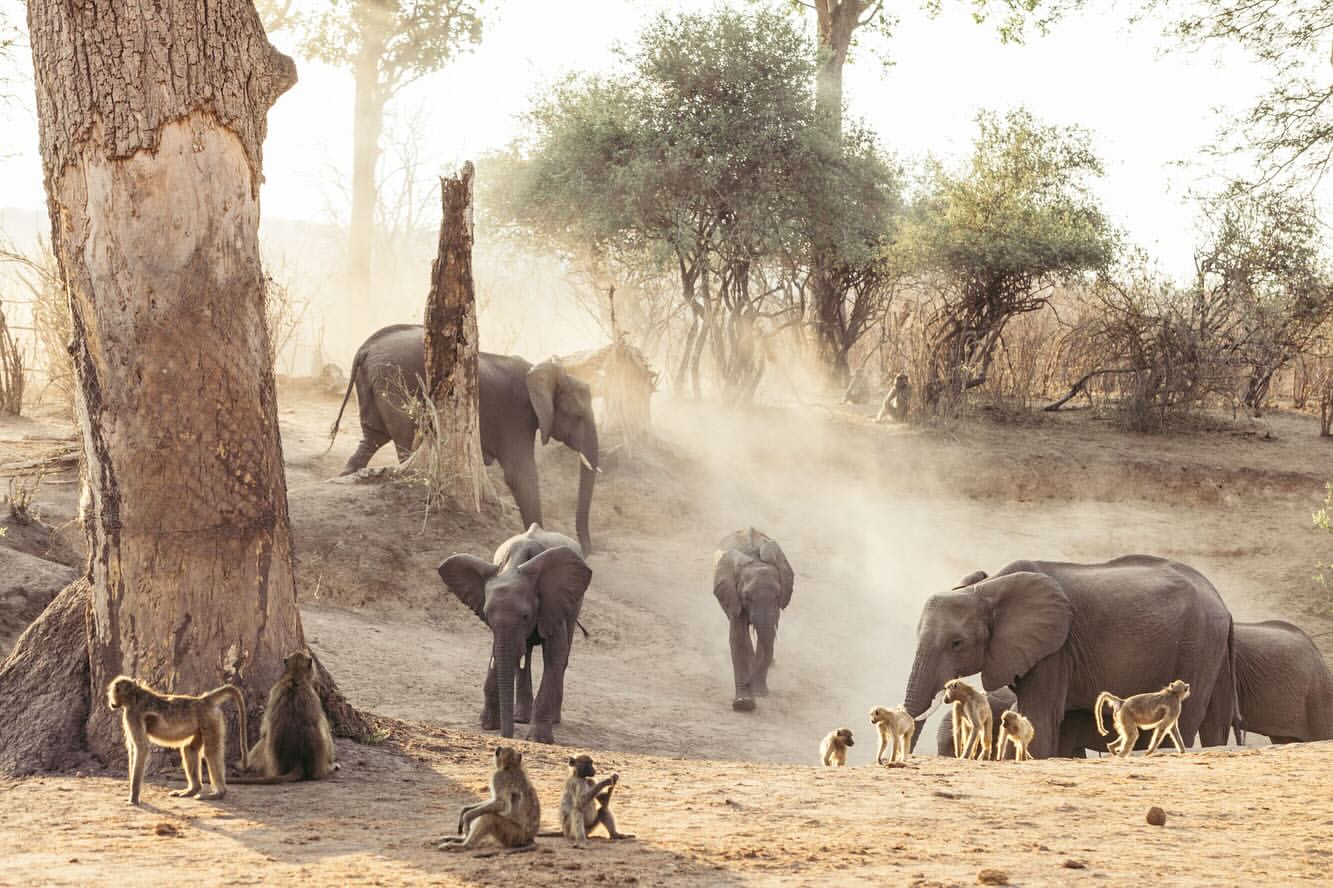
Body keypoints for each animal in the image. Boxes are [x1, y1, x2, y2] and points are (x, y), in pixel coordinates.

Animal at [331, 325, 599, 553]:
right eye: (578, 417)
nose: (587, 552)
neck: (543, 372)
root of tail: (365, 348)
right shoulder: (516, 416)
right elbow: (521, 475)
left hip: (374, 382)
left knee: (372, 437)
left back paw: (345, 475)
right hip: (394, 380)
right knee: (404, 439)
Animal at [437, 523, 592, 743]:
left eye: (526, 616)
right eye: (486, 614)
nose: (506, 738)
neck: (513, 566)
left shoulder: (553, 602)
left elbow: (555, 654)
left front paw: (538, 739)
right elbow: (500, 653)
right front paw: (488, 725)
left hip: (574, 605)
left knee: (562, 656)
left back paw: (552, 720)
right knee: (525, 656)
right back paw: (520, 718)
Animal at [712, 528, 793, 712]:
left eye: (777, 595)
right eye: (746, 596)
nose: (751, 683)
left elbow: (768, 636)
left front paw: (759, 693)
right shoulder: (733, 596)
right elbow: (738, 638)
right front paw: (744, 703)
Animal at [903, 555, 1237, 759]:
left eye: (956, 643)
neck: (987, 587)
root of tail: (1221, 599)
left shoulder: (1056, 646)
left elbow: (1038, 714)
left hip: (1197, 644)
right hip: (1211, 648)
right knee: (1214, 721)